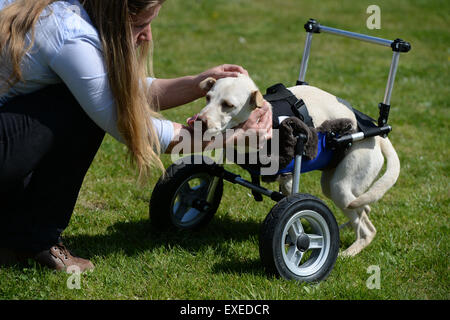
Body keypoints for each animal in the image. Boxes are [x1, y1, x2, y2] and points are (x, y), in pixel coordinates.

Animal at [193, 74, 400, 256]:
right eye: (208, 98)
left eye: (228, 105)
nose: (199, 121)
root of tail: (378, 136)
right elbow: (214, 176)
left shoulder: (288, 178)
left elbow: (294, 213)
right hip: (334, 186)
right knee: (364, 209)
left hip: (341, 187)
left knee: (367, 228)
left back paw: (348, 253)